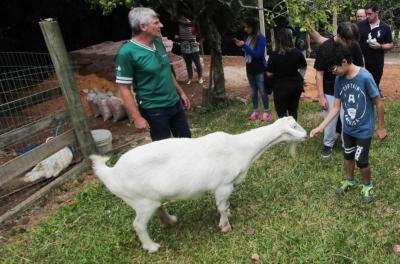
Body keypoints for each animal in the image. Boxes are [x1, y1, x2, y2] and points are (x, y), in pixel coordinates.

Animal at [90, 117, 308, 252]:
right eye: (294, 127)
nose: (306, 135)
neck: (241, 147)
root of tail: (112, 174)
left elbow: (225, 205)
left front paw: (228, 215)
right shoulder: (223, 185)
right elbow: (221, 206)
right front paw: (225, 226)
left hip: (151, 199)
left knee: (158, 209)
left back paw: (170, 220)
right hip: (142, 201)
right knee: (138, 225)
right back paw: (152, 246)